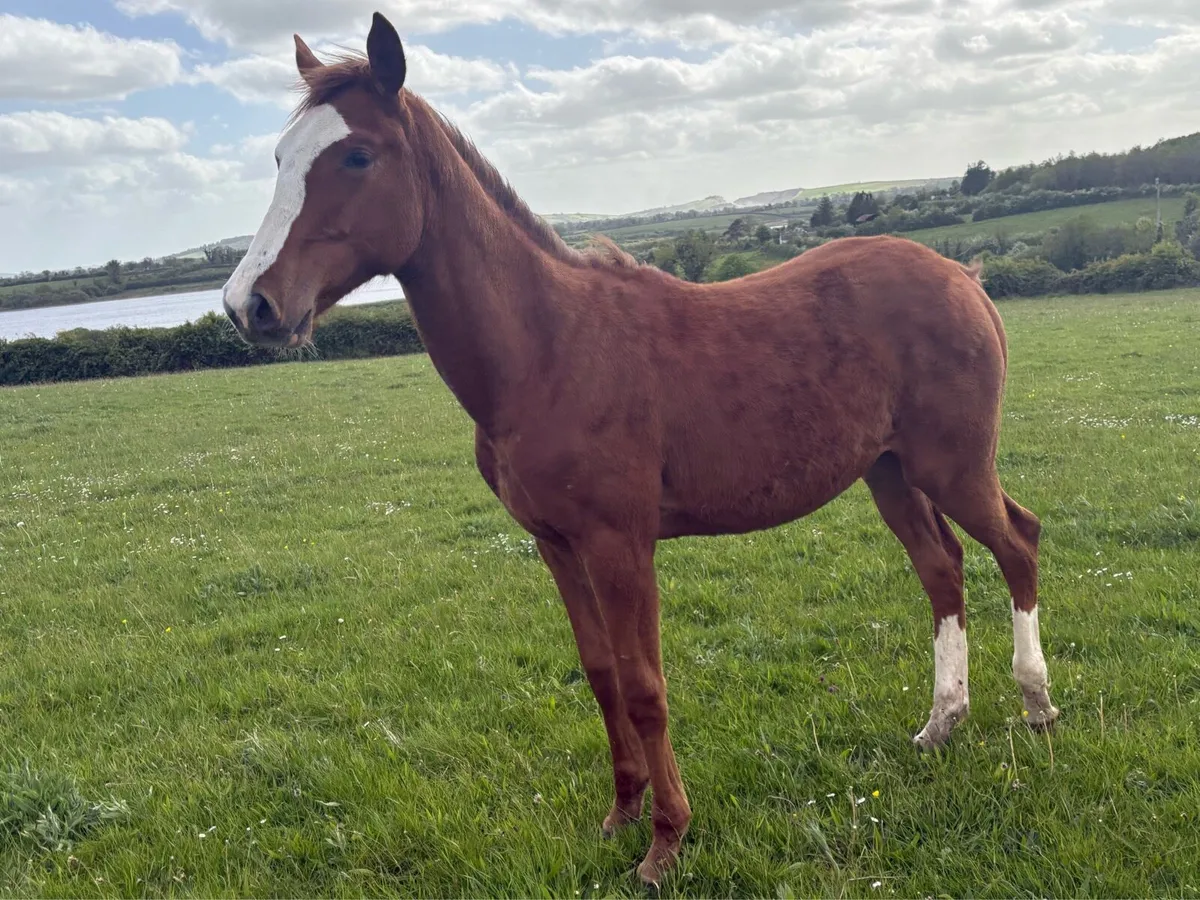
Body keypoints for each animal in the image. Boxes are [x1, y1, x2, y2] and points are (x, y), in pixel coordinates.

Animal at [221, 11, 1060, 885]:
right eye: (281, 157)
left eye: (356, 155)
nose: (250, 305)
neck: (548, 350)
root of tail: (962, 275)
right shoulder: (555, 544)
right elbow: (601, 677)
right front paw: (620, 813)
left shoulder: (621, 544)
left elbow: (645, 685)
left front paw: (665, 842)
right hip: (891, 473)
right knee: (942, 567)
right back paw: (942, 723)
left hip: (953, 465)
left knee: (1017, 542)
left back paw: (1037, 706)